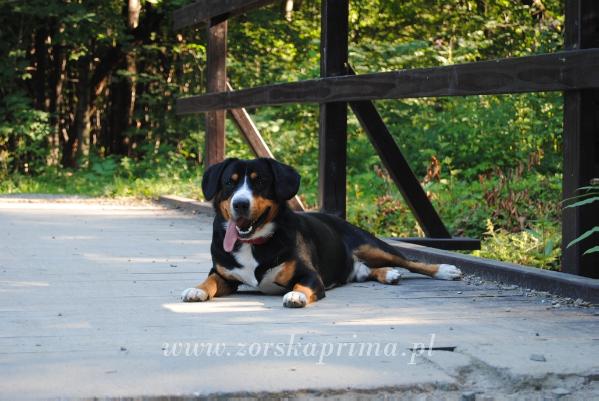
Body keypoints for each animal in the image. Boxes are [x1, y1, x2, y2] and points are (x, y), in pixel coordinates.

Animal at [183, 156, 464, 306]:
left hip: (370, 245)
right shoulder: (224, 274)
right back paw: (387, 274)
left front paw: (296, 295)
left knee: (409, 261)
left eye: (260, 181)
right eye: (228, 183)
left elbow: (301, 284)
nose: (240, 204)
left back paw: (444, 270)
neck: (254, 244)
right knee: (368, 271)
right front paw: (196, 289)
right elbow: (210, 280)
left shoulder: (310, 275)